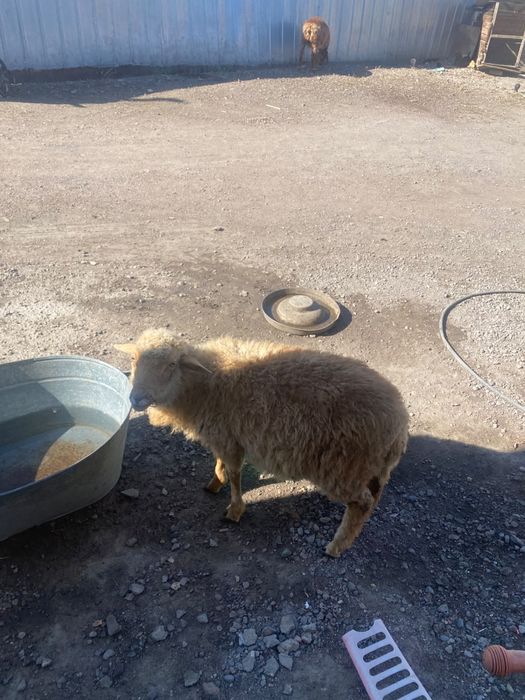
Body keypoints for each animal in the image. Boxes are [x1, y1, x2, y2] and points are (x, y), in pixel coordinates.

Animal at [116, 330, 408, 557]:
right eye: (133, 358)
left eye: (171, 365)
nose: (136, 399)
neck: (203, 384)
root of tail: (399, 420)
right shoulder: (225, 435)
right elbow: (221, 464)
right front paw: (215, 481)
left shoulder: (229, 439)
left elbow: (235, 474)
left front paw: (234, 509)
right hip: (361, 467)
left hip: (342, 468)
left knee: (362, 504)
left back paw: (336, 546)